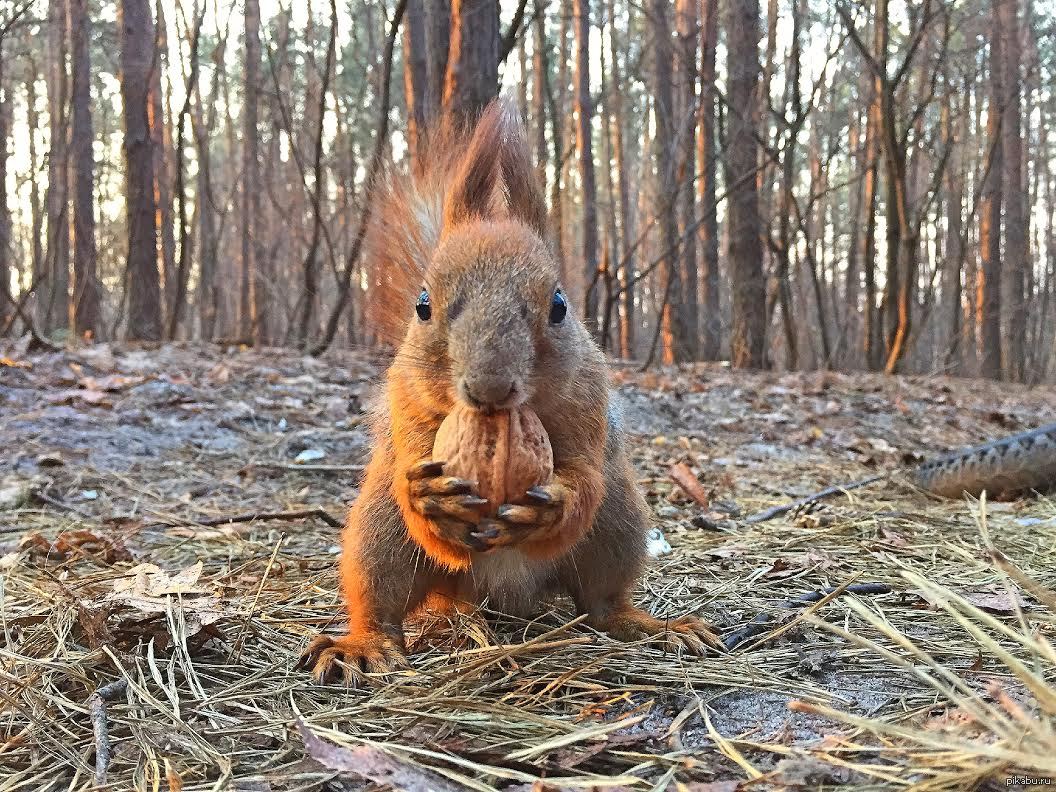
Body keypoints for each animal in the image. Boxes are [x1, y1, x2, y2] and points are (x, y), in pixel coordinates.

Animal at [297, 99, 713, 684]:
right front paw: (431, 497)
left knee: (600, 600)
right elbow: (416, 472)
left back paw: (648, 626)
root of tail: (500, 599)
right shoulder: (407, 405)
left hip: (618, 526)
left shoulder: (587, 404)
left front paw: (554, 505)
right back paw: (361, 643)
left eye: (559, 305)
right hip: (380, 535)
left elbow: (582, 480)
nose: (489, 387)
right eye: (423, 305)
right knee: (381, 598)